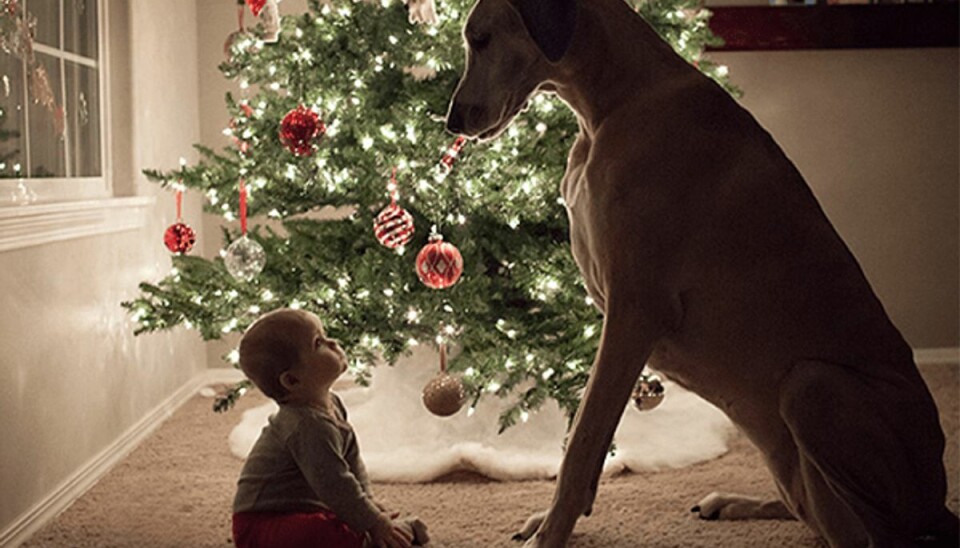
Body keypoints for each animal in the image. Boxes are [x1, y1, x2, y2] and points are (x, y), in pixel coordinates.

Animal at [446, 0, 956, 544]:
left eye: (480, 39)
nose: (451, 121)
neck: (615, 98)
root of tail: (936, 504)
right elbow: (588, 436)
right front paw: (550, 523)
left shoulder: (634, 311)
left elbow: (582, 442)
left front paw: (551, 534)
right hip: (795, 462)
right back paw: (735, 502)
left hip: (813, 386)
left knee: (881, 534)